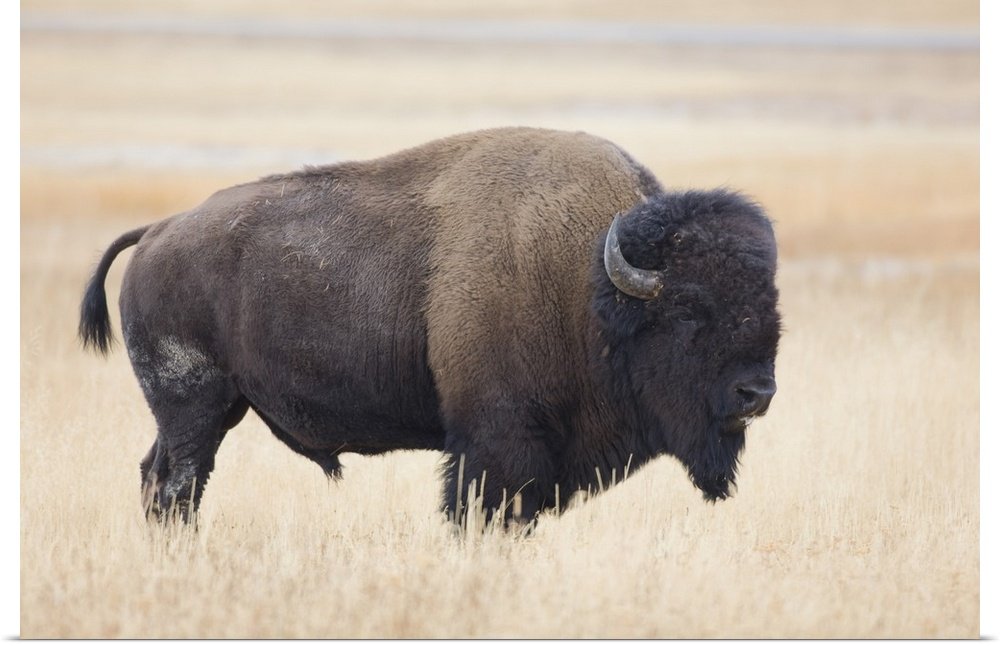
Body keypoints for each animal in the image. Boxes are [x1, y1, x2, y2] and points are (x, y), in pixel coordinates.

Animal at [79, 127, 780, 526]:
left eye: (771, 302)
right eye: (688, 309)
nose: (757, 393)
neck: (589, 283)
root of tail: (159, 231)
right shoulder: (496, 440)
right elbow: (481, 508)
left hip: (213, 410)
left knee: (159, 477)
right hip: (193, 406)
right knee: (176, 483)